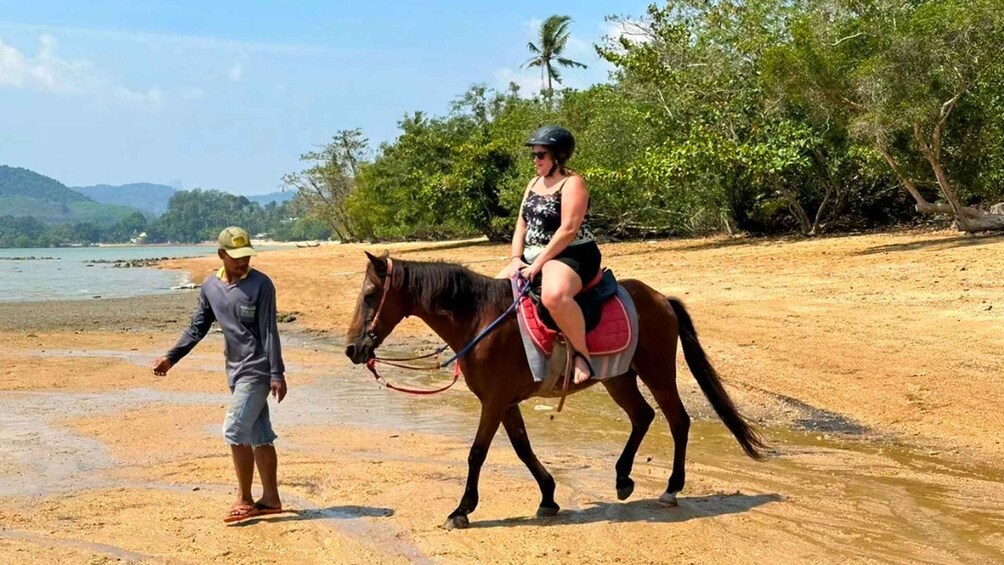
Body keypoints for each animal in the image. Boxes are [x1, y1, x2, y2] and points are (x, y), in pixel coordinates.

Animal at [343, 251, 759, 529]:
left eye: (369, 295)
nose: (351, 349)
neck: (479, 320)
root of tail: (660, 298)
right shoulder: (505, 402)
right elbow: (523, 449)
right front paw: (548, 497)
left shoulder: (494, 401)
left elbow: (477, 453)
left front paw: (461, 510)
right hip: (618, 377)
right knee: (643, 416)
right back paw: (623, 478)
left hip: (657, 372)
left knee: (678, 421)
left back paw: (671, 488)